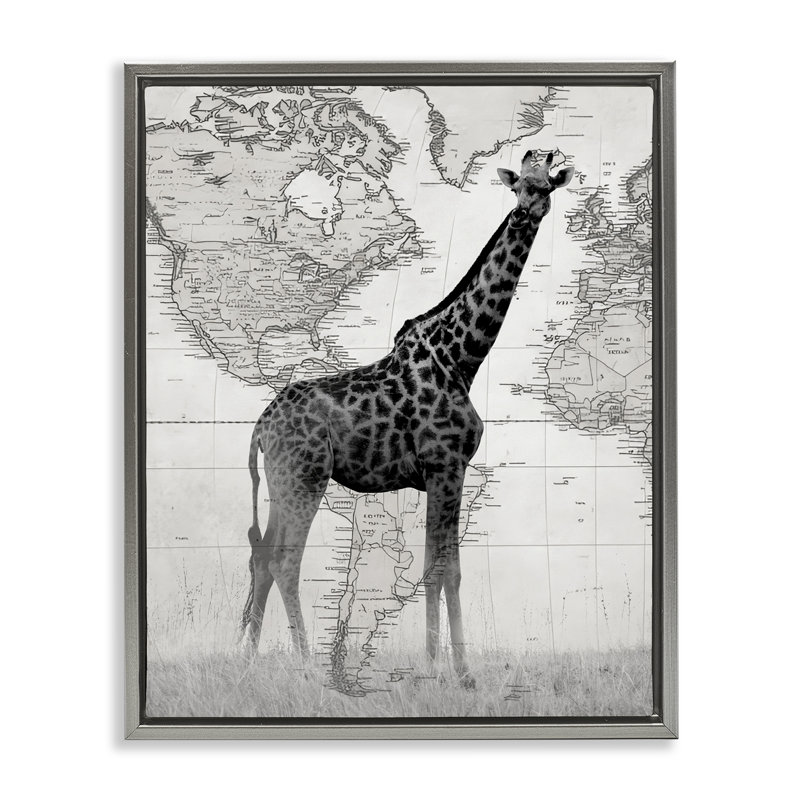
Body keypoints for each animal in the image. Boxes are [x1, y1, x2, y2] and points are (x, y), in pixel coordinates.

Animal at [239, 150, 574, 686]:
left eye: (547, 186)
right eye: (519, 184)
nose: (527, 211)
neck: (463, 356)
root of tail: (260, 429)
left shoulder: (444, 471)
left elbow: (439, 567)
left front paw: (440, 665)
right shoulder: (446, 465)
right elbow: (444, 569)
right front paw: (456, 672)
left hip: (279, 482)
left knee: (263, 557)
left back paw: (248, 661)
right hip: (305, 479)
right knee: (287, 562)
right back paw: (309, 668)